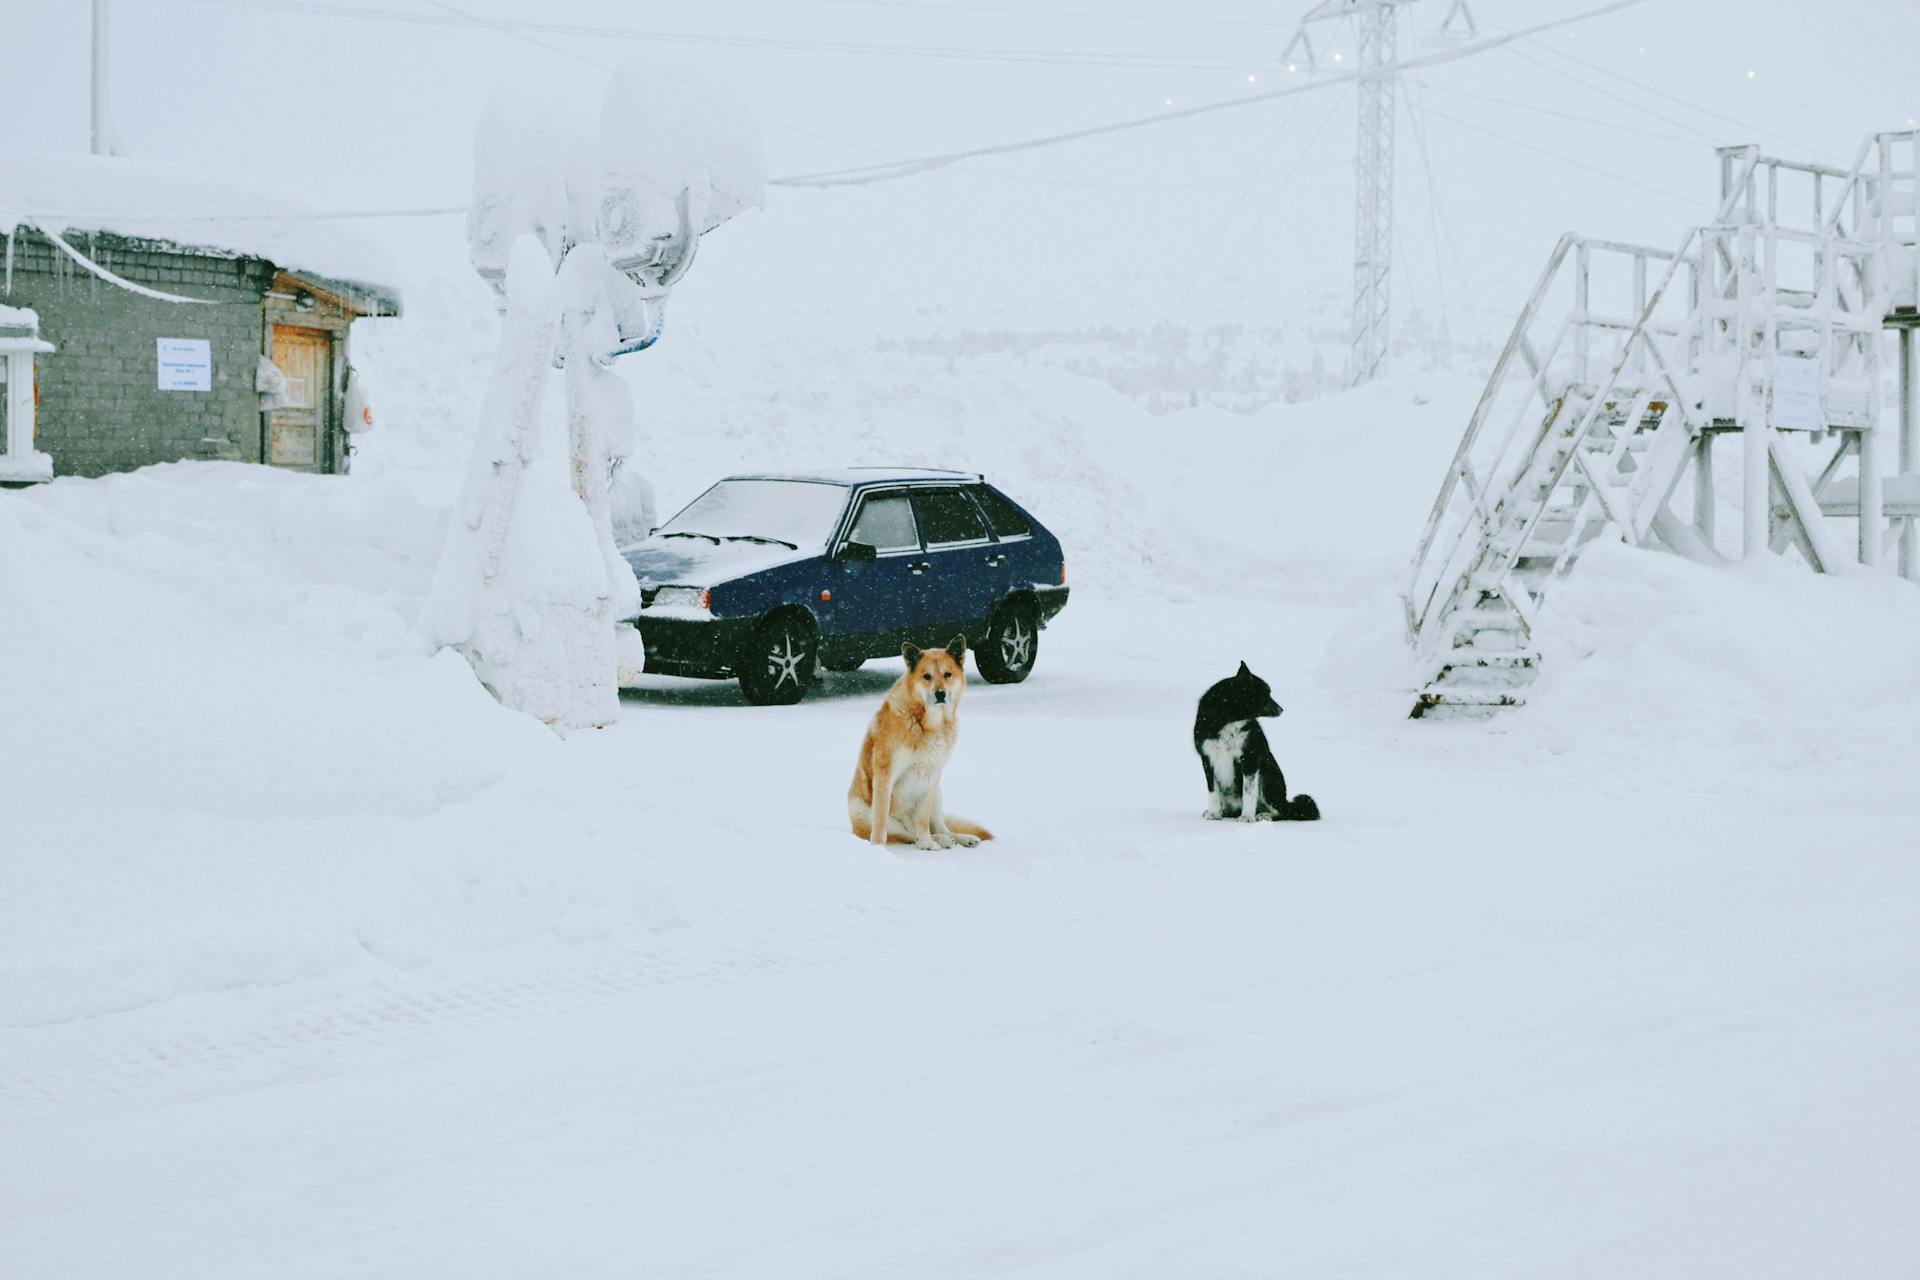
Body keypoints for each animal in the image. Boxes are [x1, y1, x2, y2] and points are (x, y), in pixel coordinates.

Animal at [852, 633, 998, 852]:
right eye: (926, 676)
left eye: (947, 674)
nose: (940, 693)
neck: (928, 725)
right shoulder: (885, 774)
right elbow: (880, 820)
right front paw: (877, 848)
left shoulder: (930, 777)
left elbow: (922, 819)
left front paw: (927, 842)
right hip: (863, 811)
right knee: (906, 833)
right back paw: (940, 840)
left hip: (937, 793)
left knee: (939, 828)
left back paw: (955, 838)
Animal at [1182, 660, 1320, 821]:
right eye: (1266, 694)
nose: (1281, 709)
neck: (1228, 720)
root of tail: (1285, 801)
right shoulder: (1207, 759)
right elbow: (1212, 791)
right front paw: (1214, 813)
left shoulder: (1250, 759)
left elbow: (1248, 792)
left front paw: (1247, 816)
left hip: (1266, 777)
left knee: (1282, 812)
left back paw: (1264, 815)